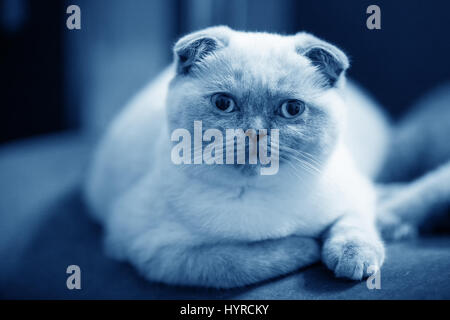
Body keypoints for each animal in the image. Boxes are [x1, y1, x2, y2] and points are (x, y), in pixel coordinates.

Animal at [85, 26, 390, 288]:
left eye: (292, 109)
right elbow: (249, 259)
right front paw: (310, 246)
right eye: (223, 103)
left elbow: (353, 224)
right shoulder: (160, 252)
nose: (255, 133)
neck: (258, 194)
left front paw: (353, 259)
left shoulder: (358, 193)